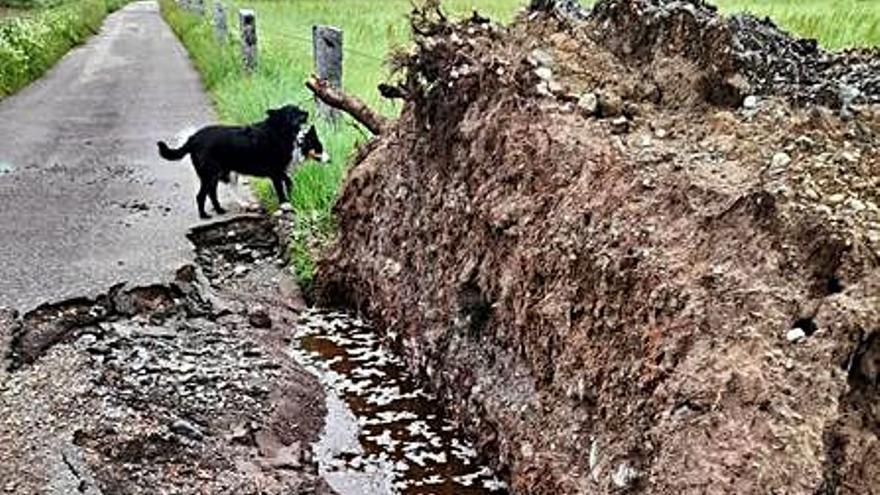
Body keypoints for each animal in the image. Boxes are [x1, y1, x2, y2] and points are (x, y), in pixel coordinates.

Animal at [157, 104, 326, 219]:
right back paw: (204, 215)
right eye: (294, 111)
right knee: (201, 195)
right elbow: (282, 187)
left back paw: (219, 210)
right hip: (209, 174)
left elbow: (289, 181)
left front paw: (289, 197)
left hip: (215, 174)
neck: (278, 131)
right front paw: (285, 204)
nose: (307, 112)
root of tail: (193, 138)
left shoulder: (278, 171)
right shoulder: (274, 172)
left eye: (299, 108)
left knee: (211, 192)